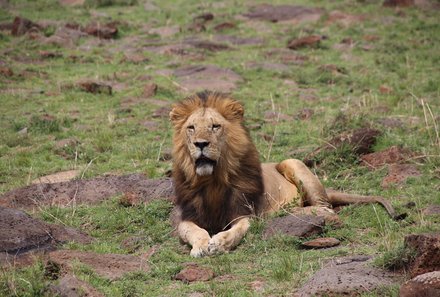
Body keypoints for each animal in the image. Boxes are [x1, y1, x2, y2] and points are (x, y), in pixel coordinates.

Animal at [169, 91, 402, 256]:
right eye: (191, 128)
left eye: (215, 126)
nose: (200, 144)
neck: (213, 181)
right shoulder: (188, 217)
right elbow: (195, 231)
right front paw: (201, 246)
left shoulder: (245, 214)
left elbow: (235, 231)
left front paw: (219, 243)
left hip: (293, 163)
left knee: (325, 208)